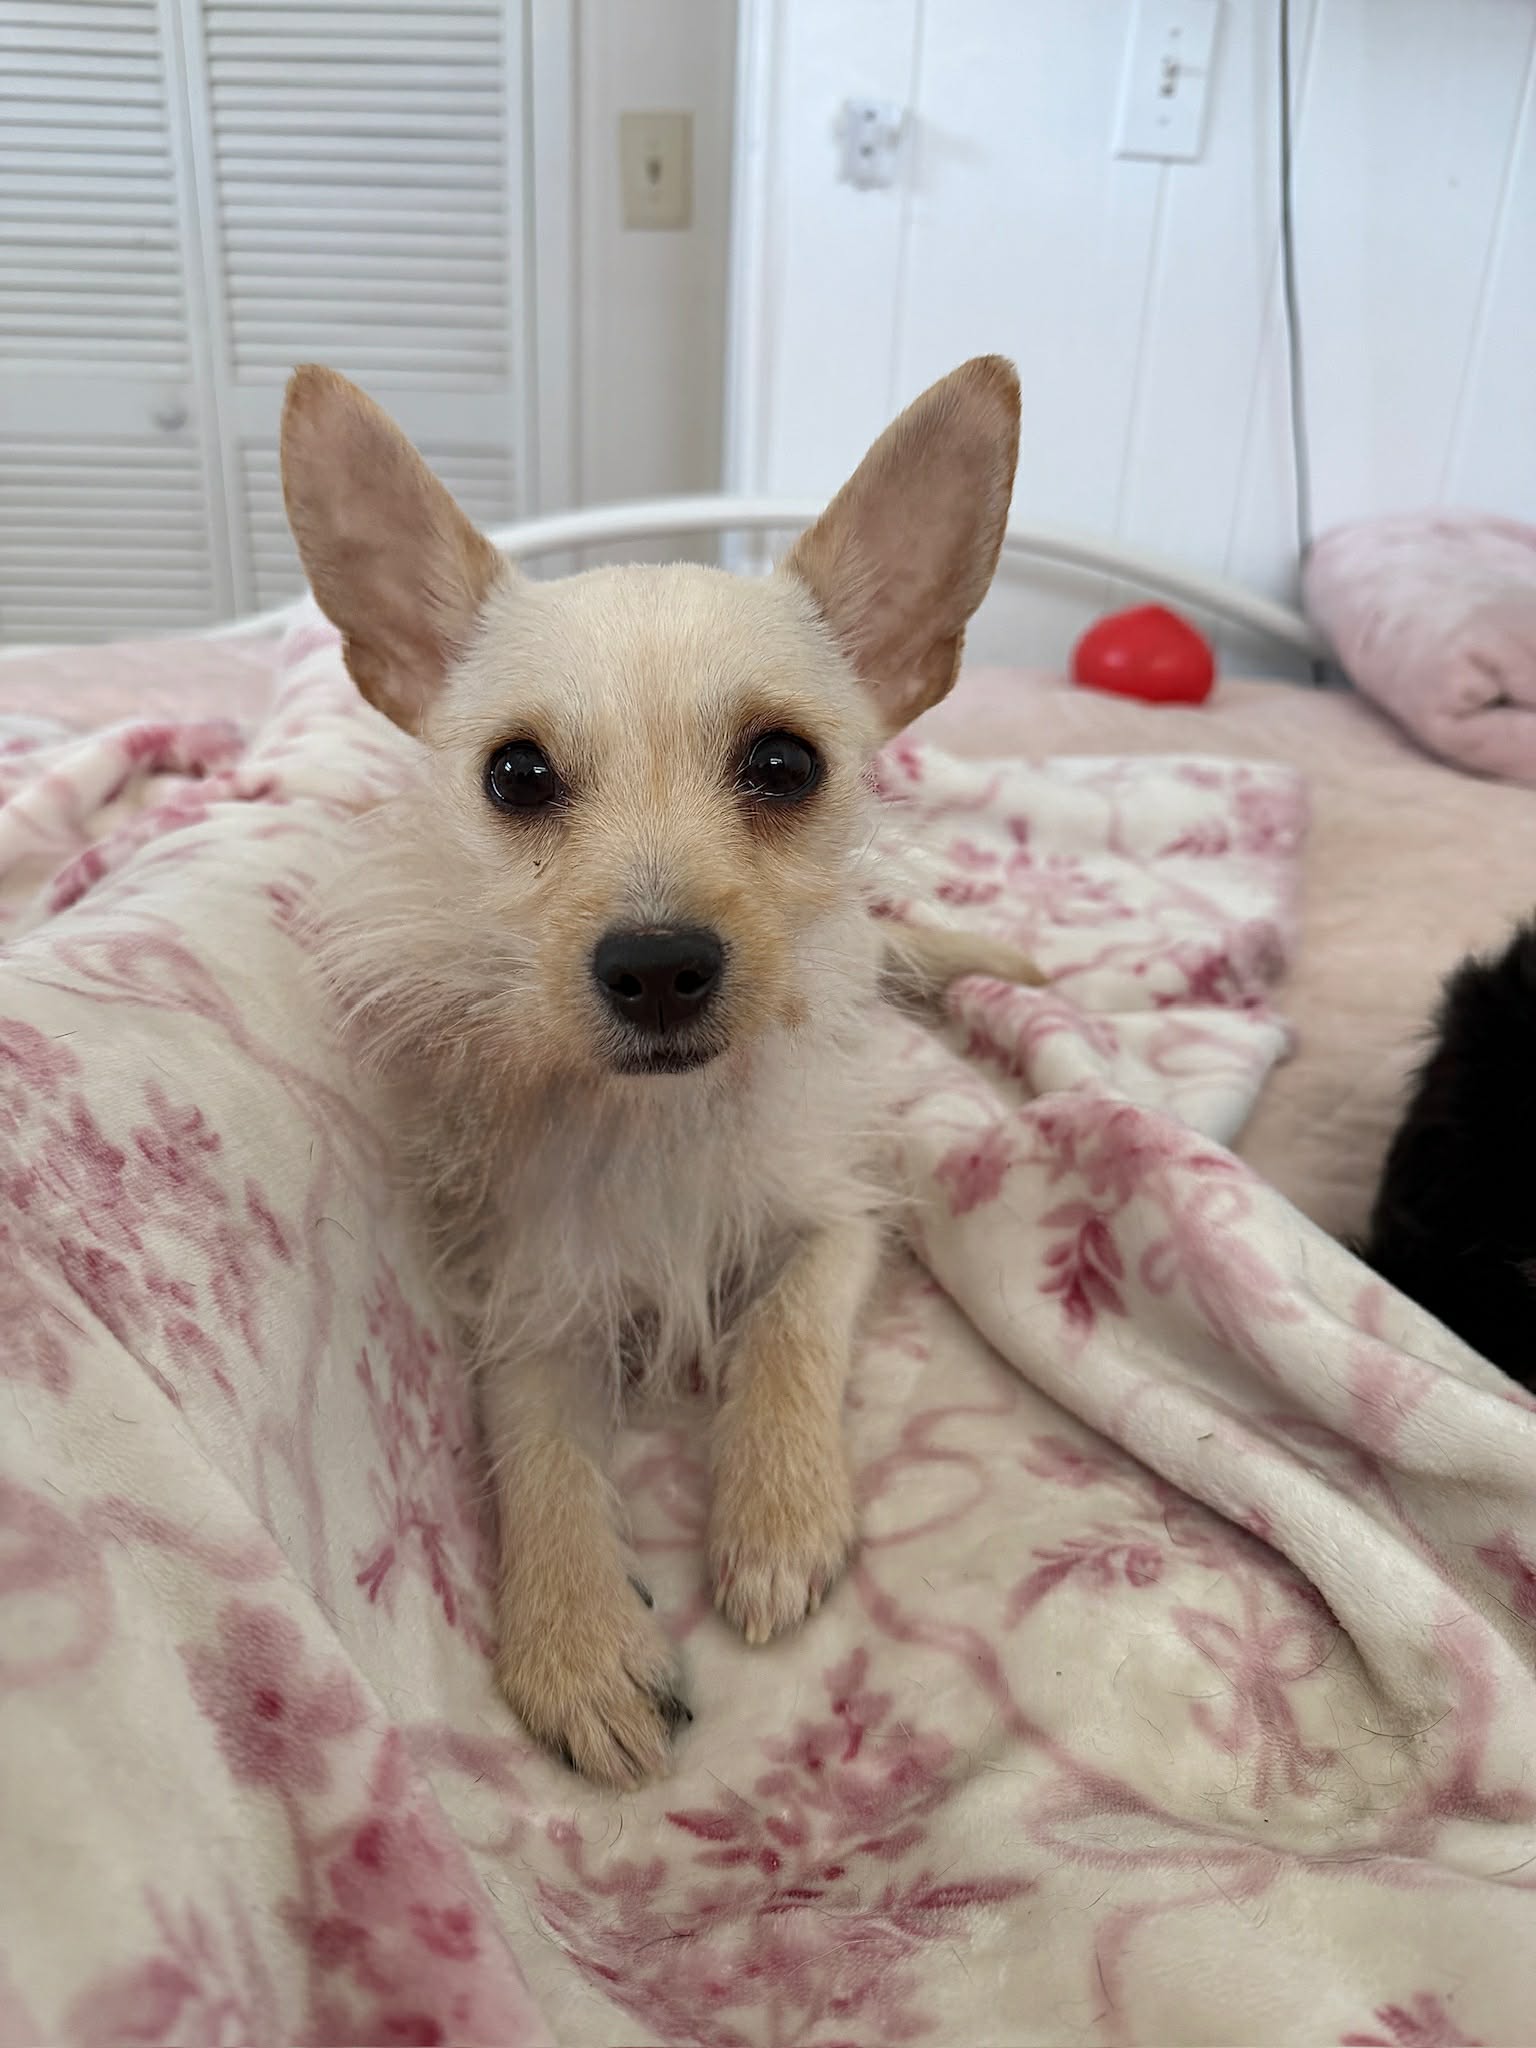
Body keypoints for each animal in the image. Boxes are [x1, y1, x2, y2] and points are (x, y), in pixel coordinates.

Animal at [280, 355, 1037, 1786]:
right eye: (516, 773)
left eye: (784, 762)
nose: (658, 967)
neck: (662, 1116)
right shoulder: (534, 1302)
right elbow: (537, 1453)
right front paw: (577, 1635)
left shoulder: (843, 1215)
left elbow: (789, 1327)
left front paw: (778, 1509)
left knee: (910, 945)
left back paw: (1000, 962)